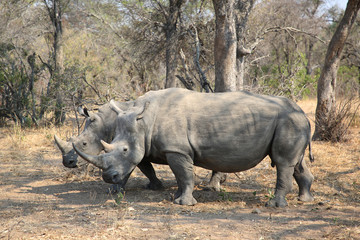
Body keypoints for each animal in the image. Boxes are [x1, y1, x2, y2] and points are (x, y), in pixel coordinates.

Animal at [54, 99, 225, 191]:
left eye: (83, 144)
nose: (67, 162)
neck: (106, 122)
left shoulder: (131, 144)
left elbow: (133, 167)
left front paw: (116, 189)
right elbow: (146, 168)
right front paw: (154, 186)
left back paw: (211, 187)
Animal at [74, 88, 316, 206]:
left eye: (124, 150)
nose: (108, 177)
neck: (144, 120)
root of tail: (302, 112)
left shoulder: (177, 149)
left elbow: (184, 175)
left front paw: (184, 204)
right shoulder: (173, 149)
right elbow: (180, 176)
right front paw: (177, 197)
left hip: (289, 121)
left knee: (283, 163)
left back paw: (274, 206)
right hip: (294, 122)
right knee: (296, 163)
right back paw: (304, 200)